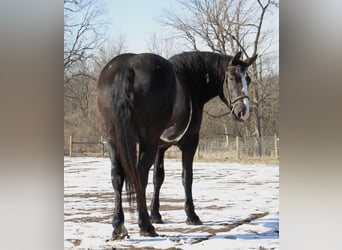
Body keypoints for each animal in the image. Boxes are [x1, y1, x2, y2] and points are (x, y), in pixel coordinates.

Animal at [96, 50, 256, 240]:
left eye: (248, 80)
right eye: (231, 78)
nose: (244, 112)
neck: (190, 82)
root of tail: (128, 66)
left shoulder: (160, 147)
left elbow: (158, 178)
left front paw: (156, 214)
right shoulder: (190, 143)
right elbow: (187, 177)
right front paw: (191, 215)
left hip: (114, 141)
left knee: (117, 176)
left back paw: (119, 226)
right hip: (146, 141)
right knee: (139, 176)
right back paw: (145, 226)